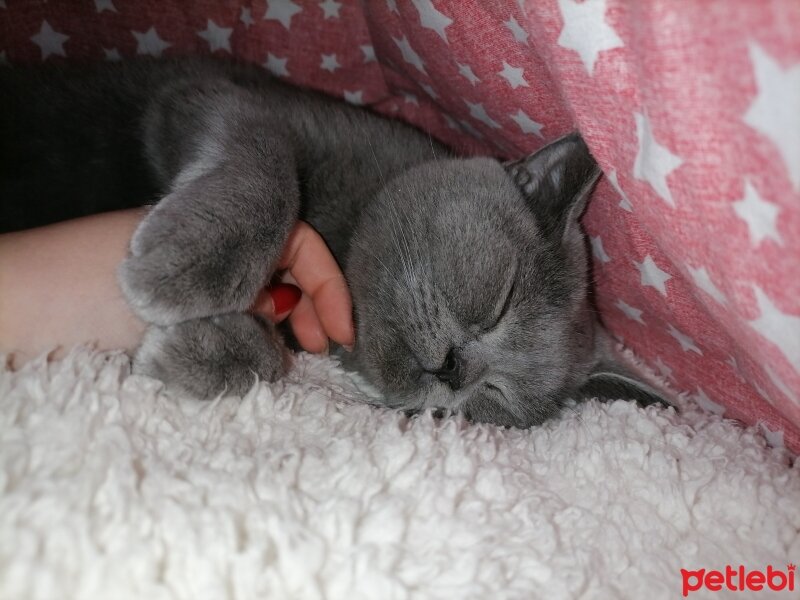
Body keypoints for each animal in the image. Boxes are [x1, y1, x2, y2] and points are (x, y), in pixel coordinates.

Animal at [0, 56, 664, 426]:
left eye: (494, 399)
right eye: (499, 301)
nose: (456, 374)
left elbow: (275, 357)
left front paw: (201, 353)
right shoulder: (202, 93)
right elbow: (263, 158)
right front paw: (182, 266)